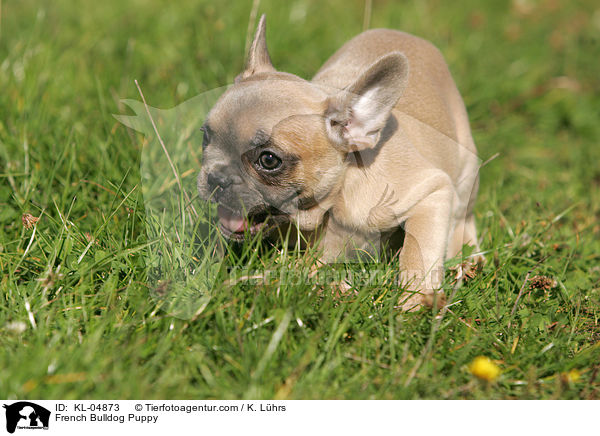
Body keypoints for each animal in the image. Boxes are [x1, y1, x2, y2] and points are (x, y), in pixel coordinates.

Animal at [198, 14, 482, 310]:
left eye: (268, 160)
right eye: (205, 136)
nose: (216, 178)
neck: (336, 197)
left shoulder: (431, 192)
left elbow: (418, 250)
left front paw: (413, 301)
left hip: (467, 175)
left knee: (463, 218)